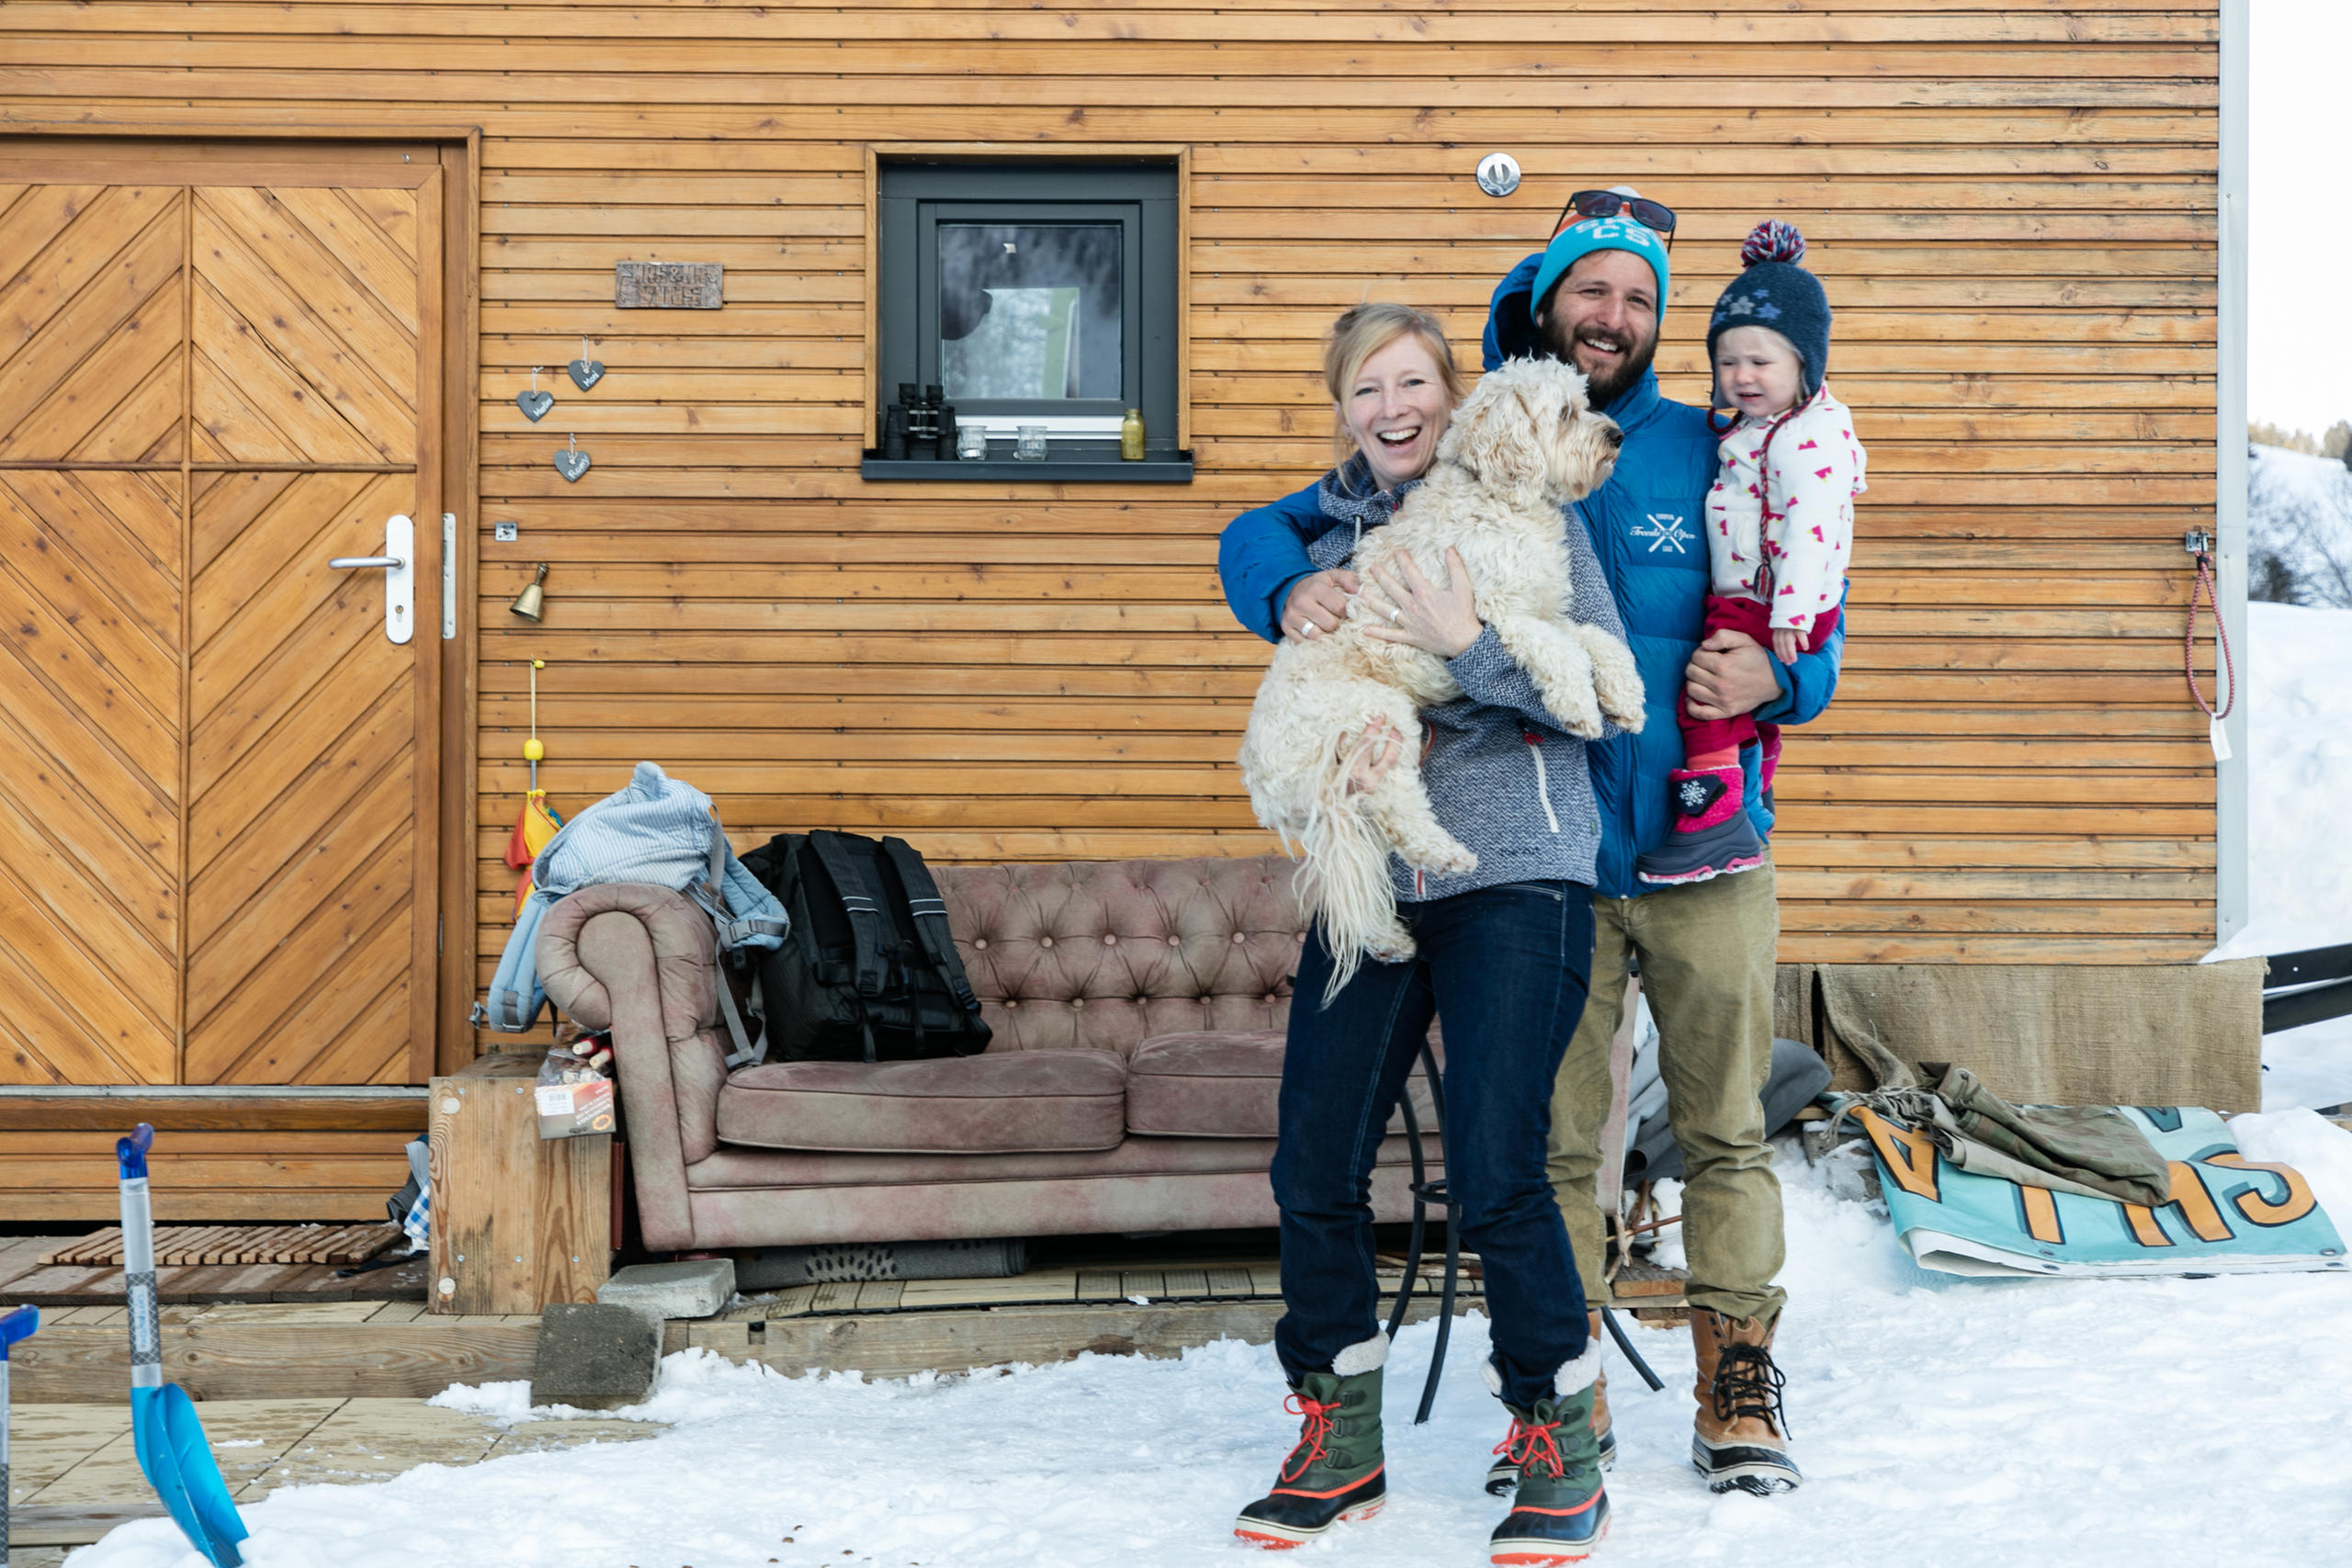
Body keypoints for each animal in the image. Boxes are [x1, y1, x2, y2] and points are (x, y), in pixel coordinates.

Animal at [1241, 355, 1646, 991]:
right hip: (1378, 719)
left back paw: (1388, 938)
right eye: (1564, 413)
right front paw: (1580, 706)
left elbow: (1598, 641)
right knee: (1397, 808)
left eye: (1585, 404)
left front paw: (1625, 699)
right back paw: (1446, 856)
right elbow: (1560, 652)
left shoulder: (1547, 609)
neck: (1500, 499)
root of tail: (1263, 781)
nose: (1617, 436)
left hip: (1347, 792)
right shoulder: (1500, 612)